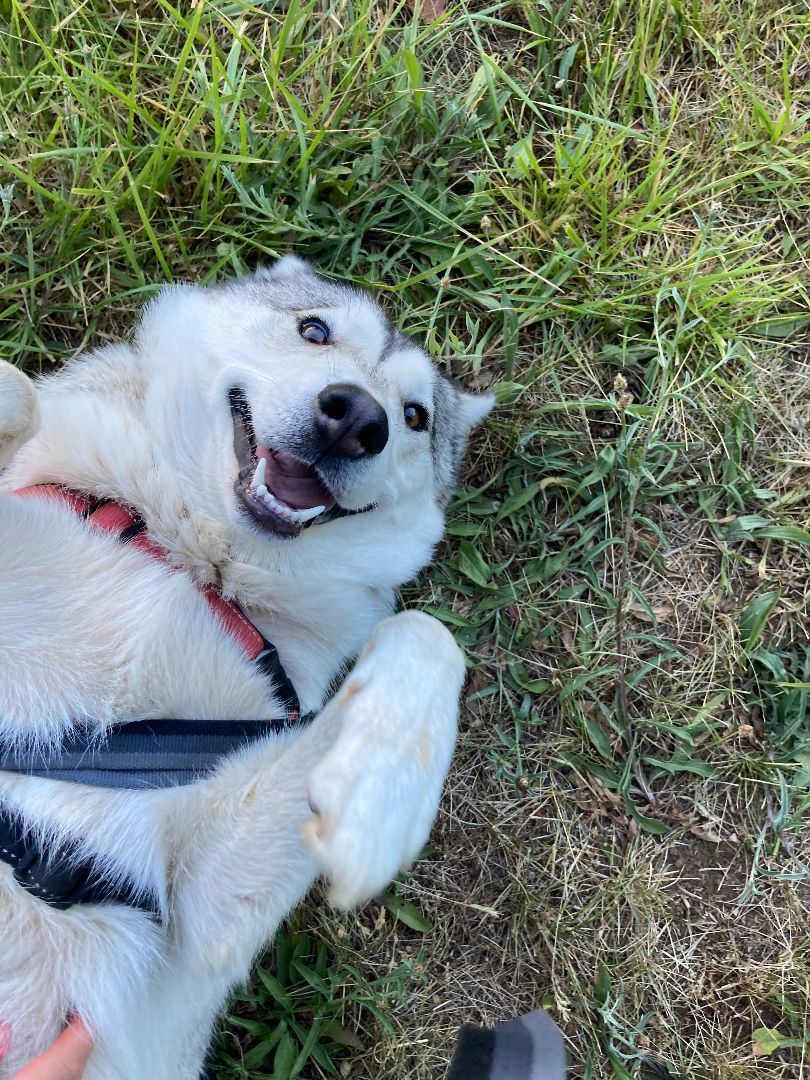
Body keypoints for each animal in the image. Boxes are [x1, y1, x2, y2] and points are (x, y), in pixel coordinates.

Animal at [0, 257, 494, 1075]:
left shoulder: (184, 944)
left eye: (416, 416)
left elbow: (428, 632)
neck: (191, 559)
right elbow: (19, 390)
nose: (355, 417)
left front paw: (373, 802)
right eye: (315, 330)